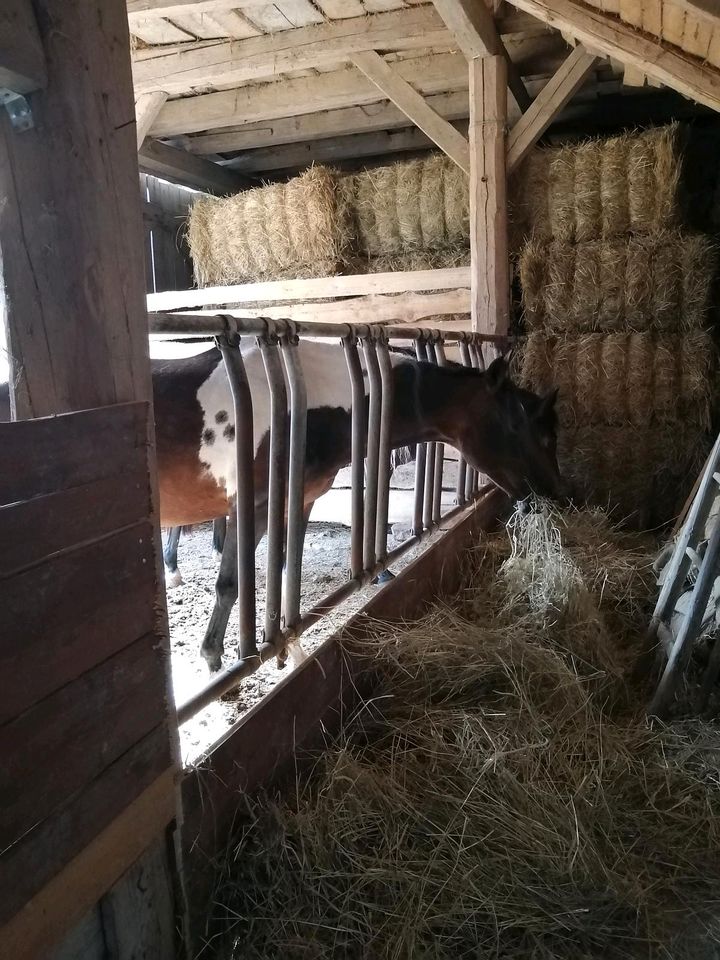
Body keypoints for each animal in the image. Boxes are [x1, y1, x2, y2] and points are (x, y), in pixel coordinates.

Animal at [152, 342, 568, 672]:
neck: (301, 407)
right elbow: (229, 584)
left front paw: (292, 653)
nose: (556, 495)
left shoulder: (298, 503)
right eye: (517, 425)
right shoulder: (250, 507)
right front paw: (214, 663)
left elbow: (287, 576)